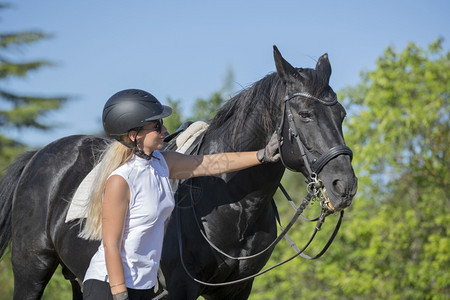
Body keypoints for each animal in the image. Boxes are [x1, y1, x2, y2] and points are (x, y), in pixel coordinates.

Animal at [0, 46, 358, 298]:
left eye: (341, 114)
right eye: (305, 114)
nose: (344, 186)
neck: (233, 205)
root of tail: (38, 156)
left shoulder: (236, 291)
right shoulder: (180, 289)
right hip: (32, 269)